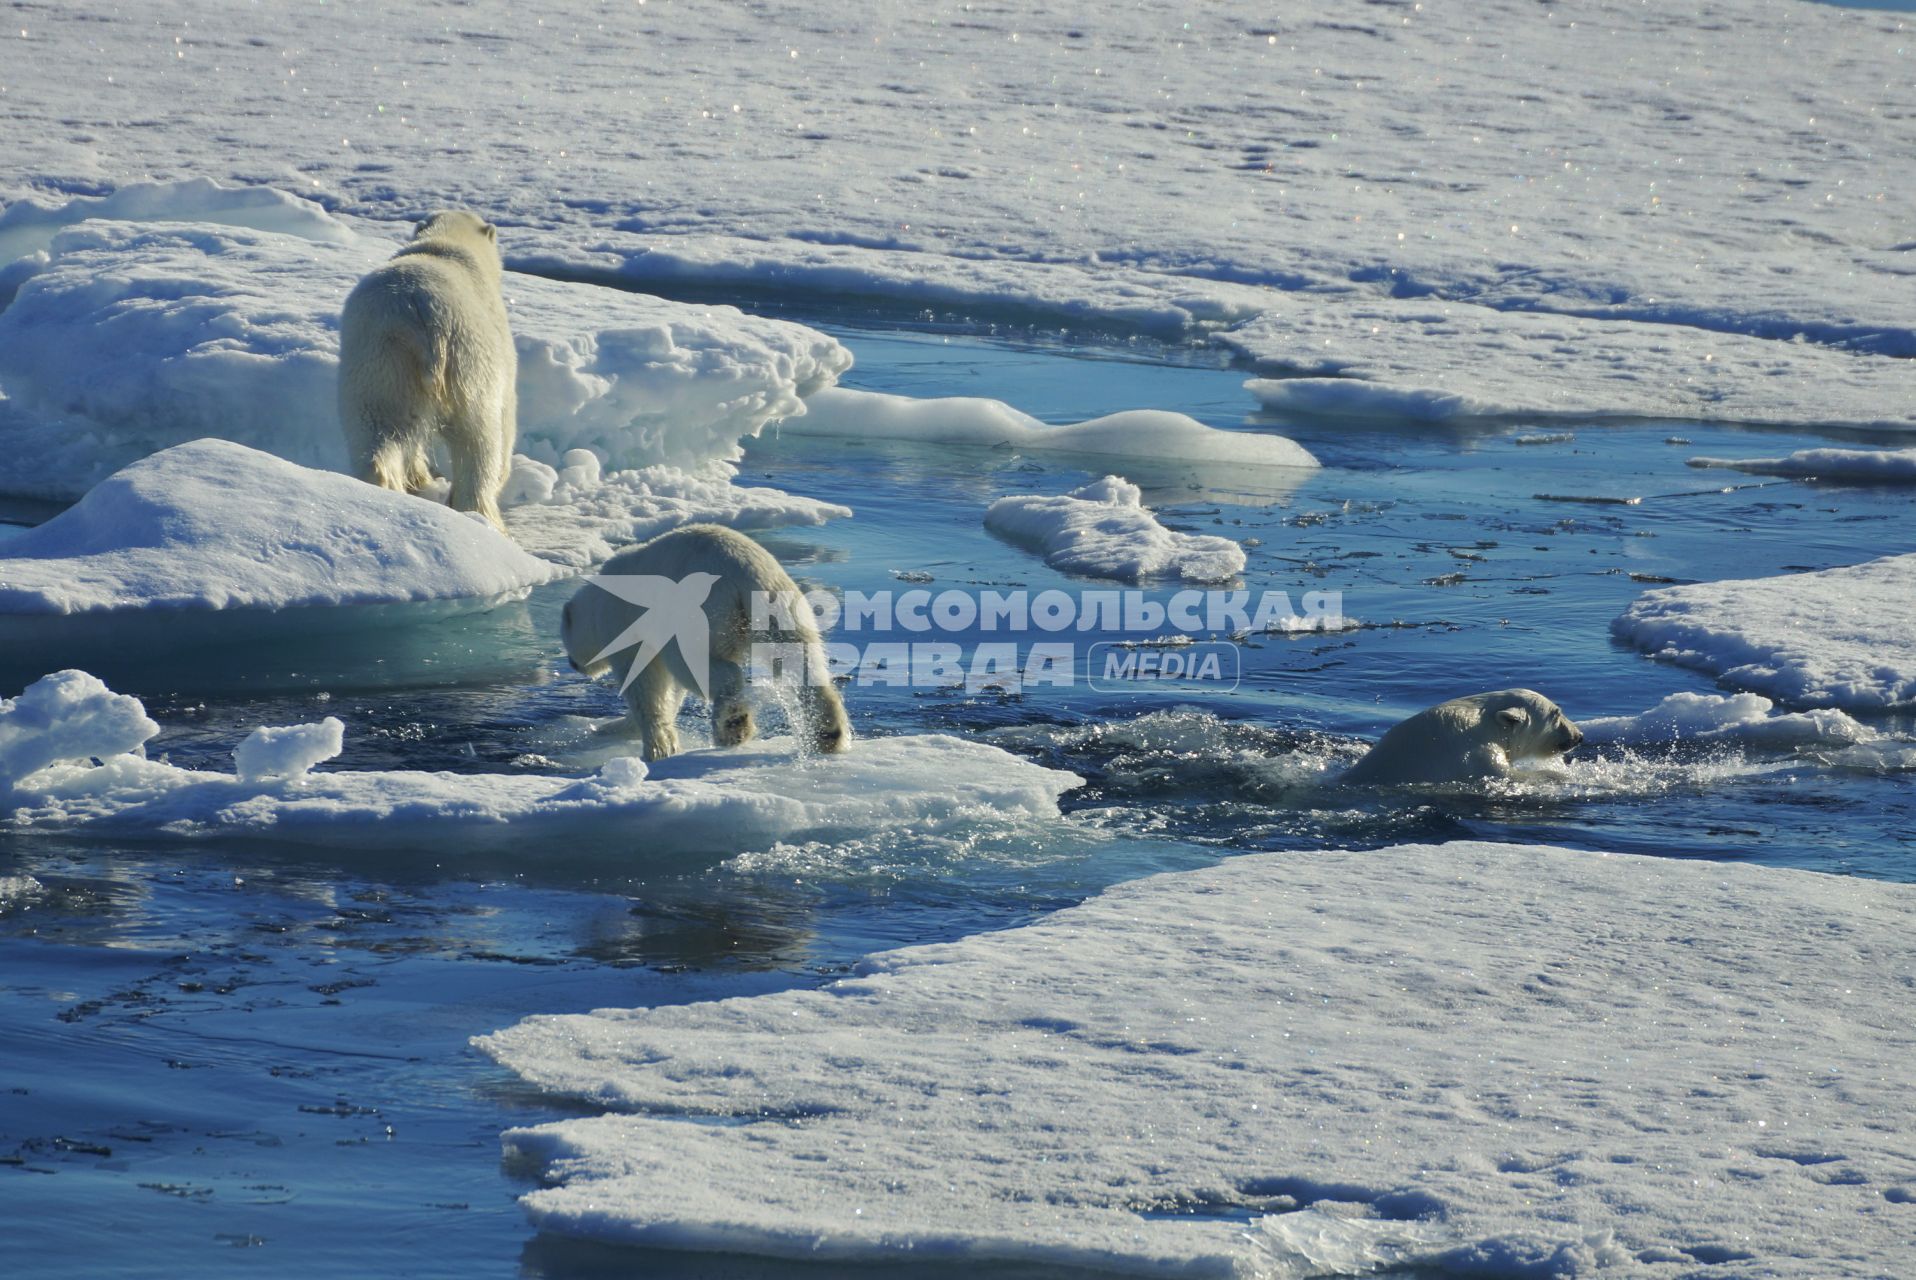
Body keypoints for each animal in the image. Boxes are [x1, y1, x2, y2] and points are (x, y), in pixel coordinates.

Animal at [337, 209, 517, 528]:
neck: (445, 245)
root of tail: (421, 314)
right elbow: (507, 417)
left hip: (381, 359)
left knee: (379, 426)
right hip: (468, 361)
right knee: (479, 441)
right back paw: (481, 516)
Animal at [559, 528, 850, 766]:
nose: (573, 664)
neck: (599, 599)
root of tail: (740, 572)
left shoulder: (625, 624)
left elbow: (644, 684)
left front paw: (654, 747)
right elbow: (669, 690)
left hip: (698, 614)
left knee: (696, 665)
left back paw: (733, 723)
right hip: (782, 604)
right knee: (800, 659)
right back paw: (828, 733)